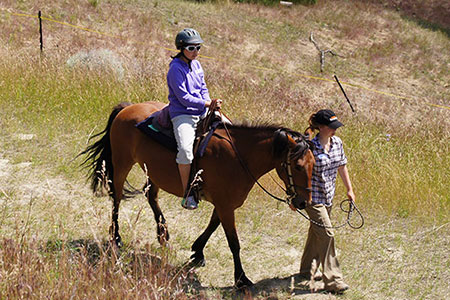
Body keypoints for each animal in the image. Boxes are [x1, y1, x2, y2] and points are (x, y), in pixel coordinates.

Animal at [80, 101, 312, 288]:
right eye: (298, 166)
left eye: (314, 165)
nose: (303, 202)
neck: (238, 157)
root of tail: (127, 108)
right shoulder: (226, 206)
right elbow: (234, 242)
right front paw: (240, 279)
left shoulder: (224, 204)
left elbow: (212, 226)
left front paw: (197, 252)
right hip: (122, 164)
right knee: (117, 198)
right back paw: (116, 236)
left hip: (152, 170)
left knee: (150, 195)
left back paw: (163, 234)